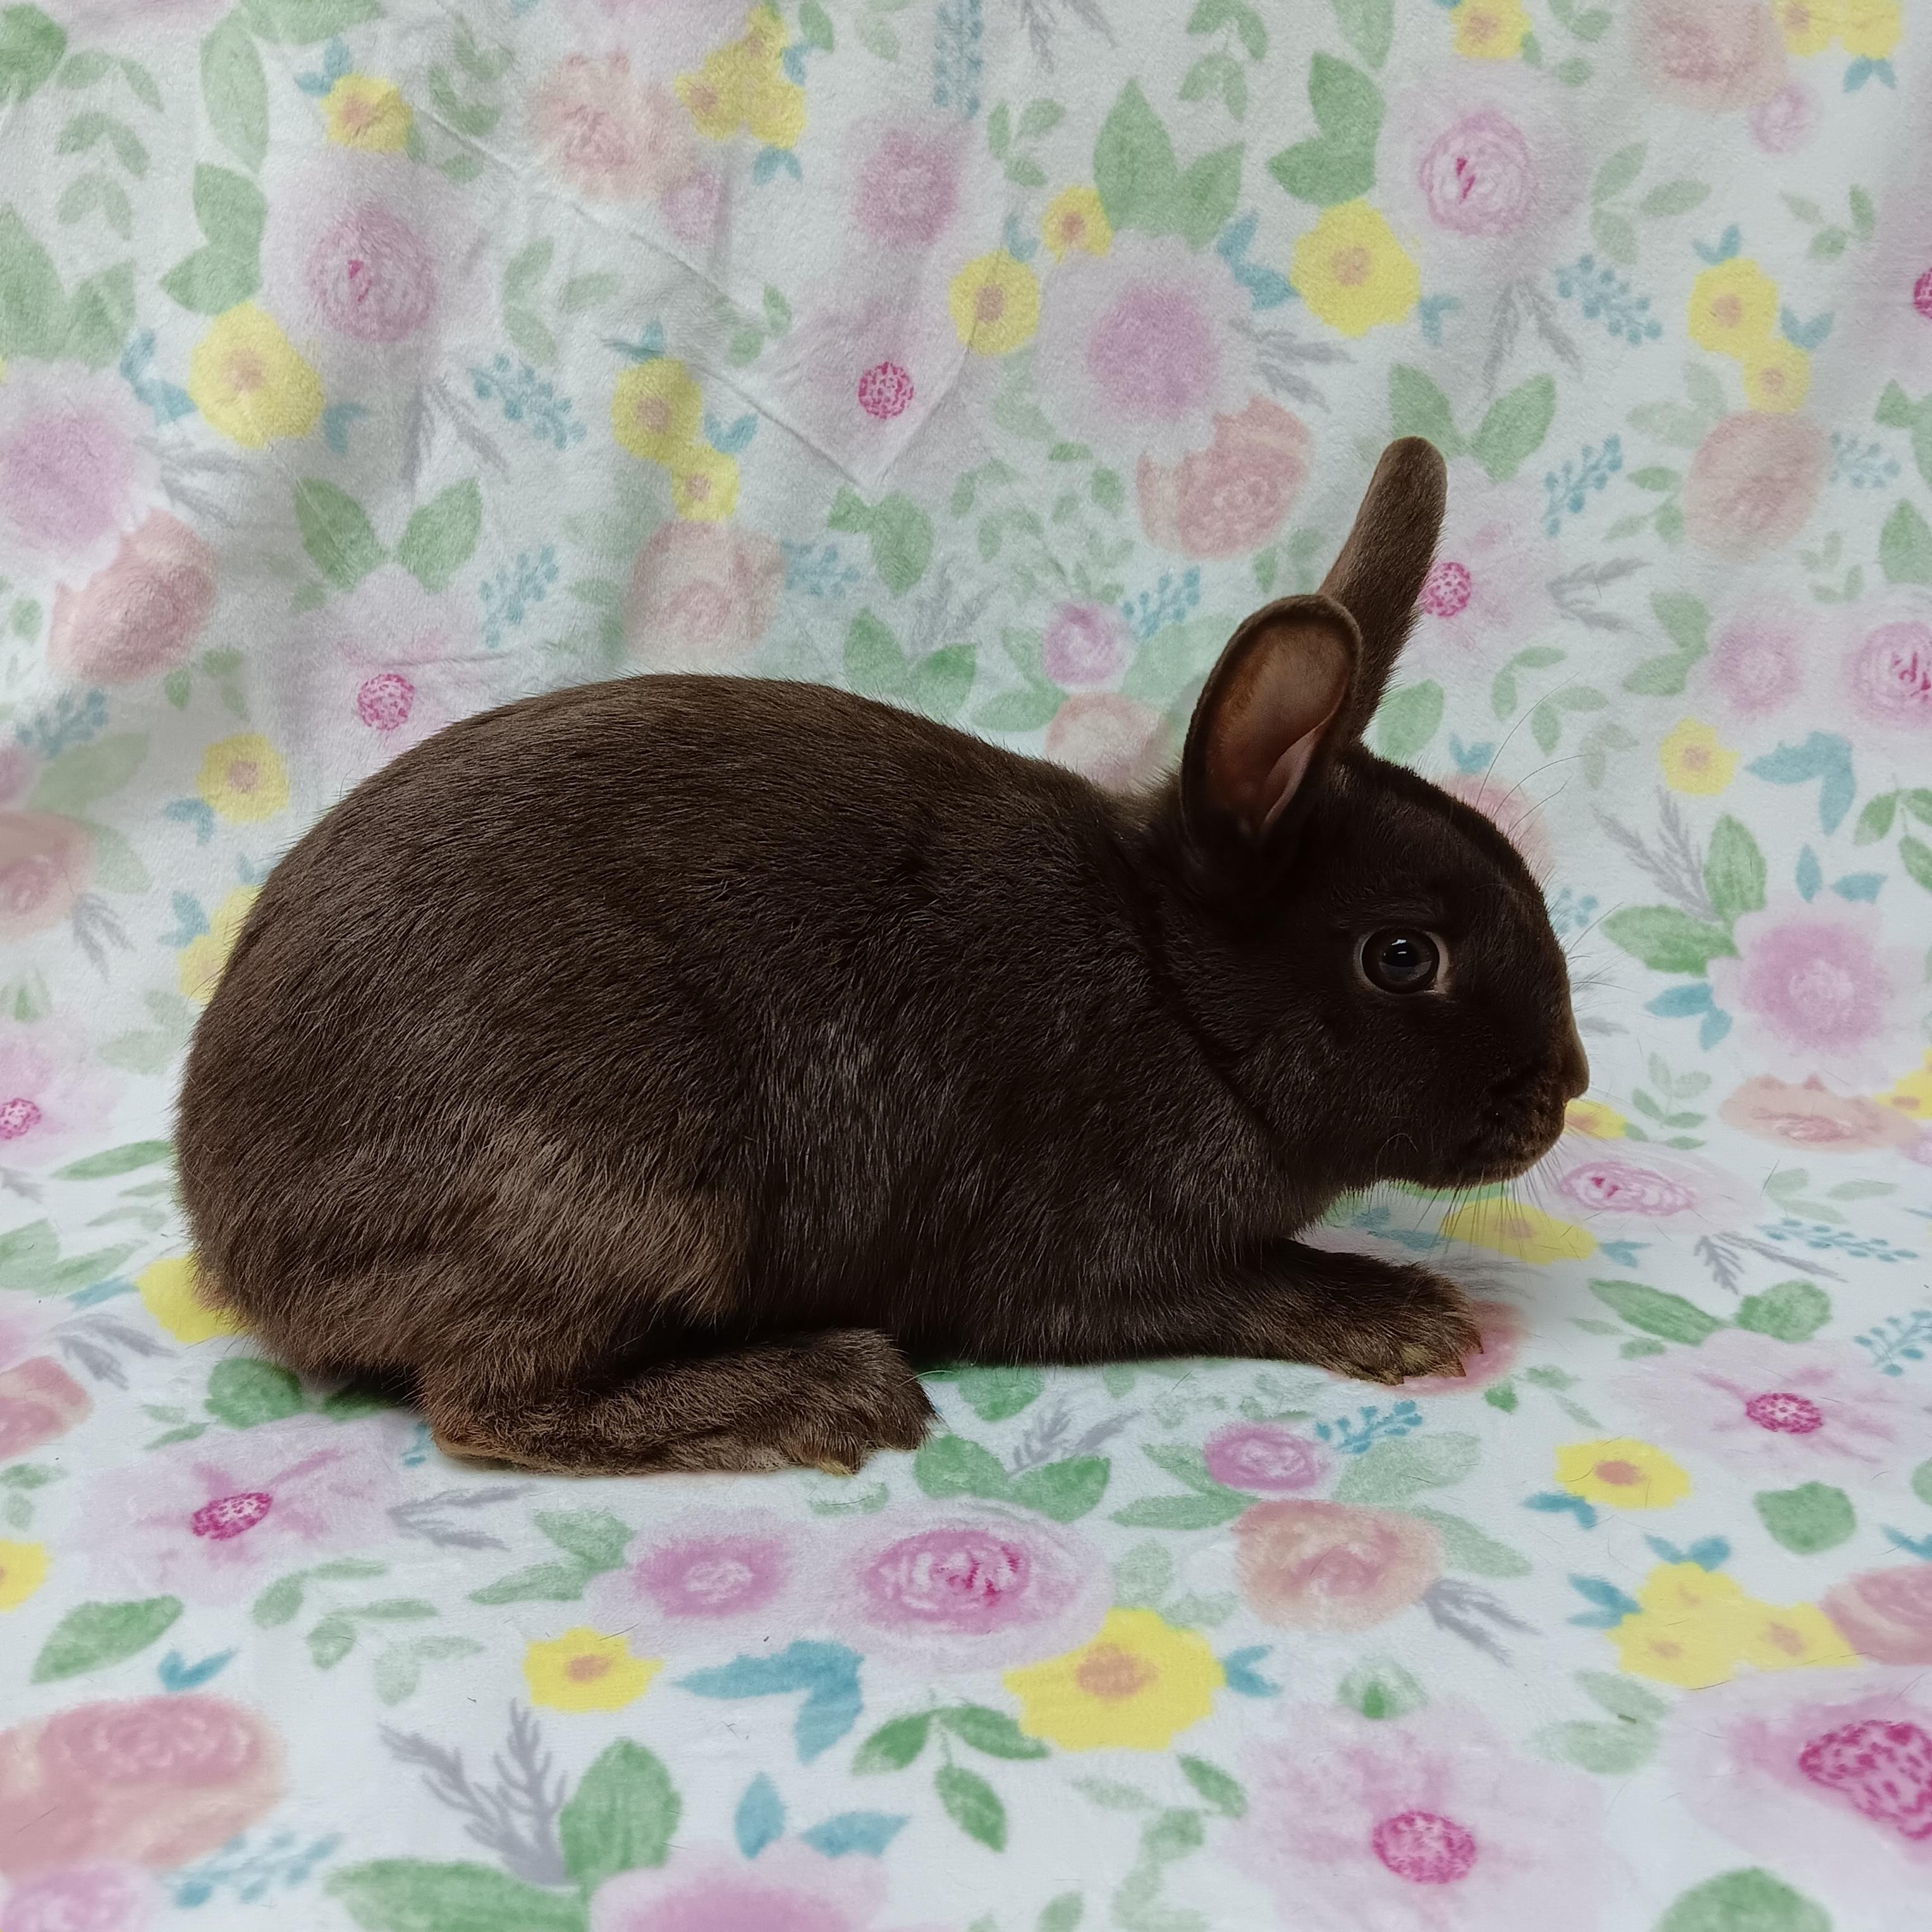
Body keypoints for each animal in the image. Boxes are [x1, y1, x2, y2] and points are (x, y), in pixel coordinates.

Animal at [176, 438, 1588, 1477]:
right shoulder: (1092, 1255)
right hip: (624, 1178)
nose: (1565, 1089)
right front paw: (1404, 1317)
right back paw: (828, 1391)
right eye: (1402, 955)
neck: (1177, 993)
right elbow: (1253, 1283)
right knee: (489, 1402)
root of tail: (235, 1240)